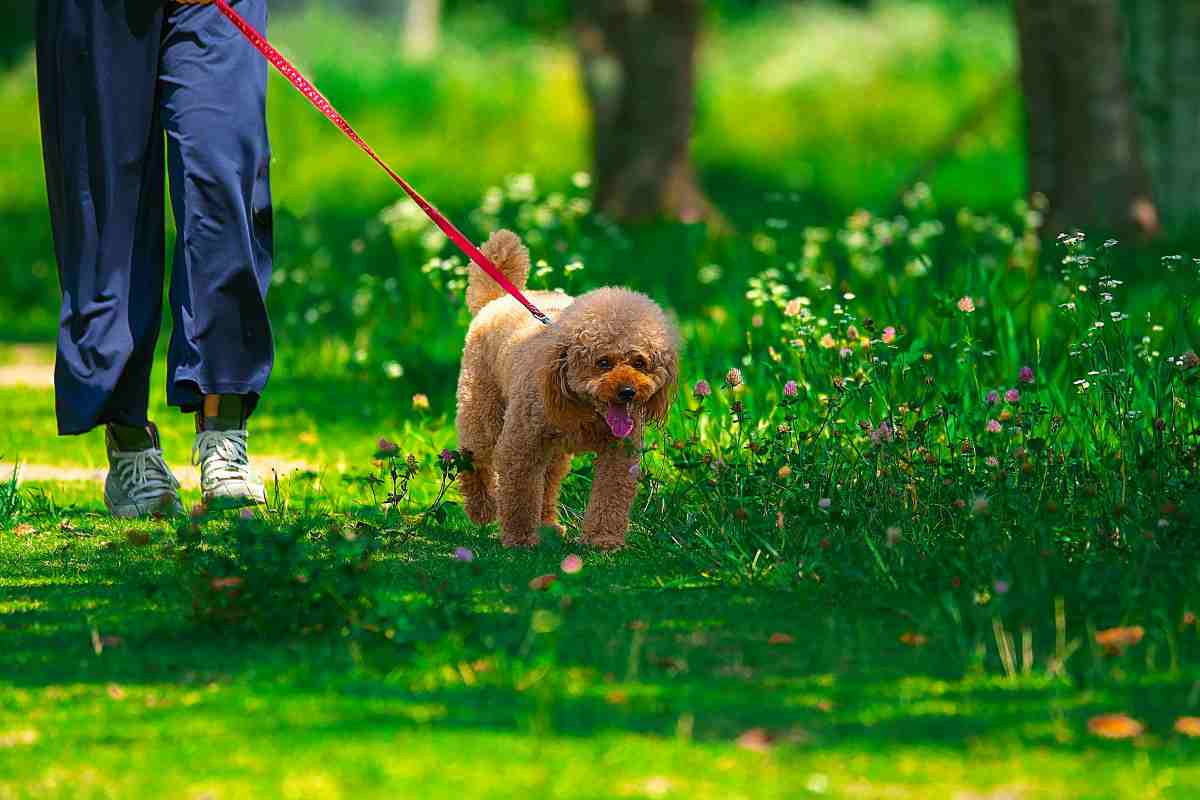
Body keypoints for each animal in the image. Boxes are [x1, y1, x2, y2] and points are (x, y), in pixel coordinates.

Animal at [453, 227, 676, 546]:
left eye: (640, 362)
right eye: (603, 362)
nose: (627, 392)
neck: (588, 411)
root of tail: (496, 300)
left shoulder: (619, 453)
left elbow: (610, 496)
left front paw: (603, 539)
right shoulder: (521, 446)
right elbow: (519, 494)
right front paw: (520, 539)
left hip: (554, 450)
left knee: (547, 480)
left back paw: (547, 525)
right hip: (483, 411)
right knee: (472, 456)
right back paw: (482, 508)